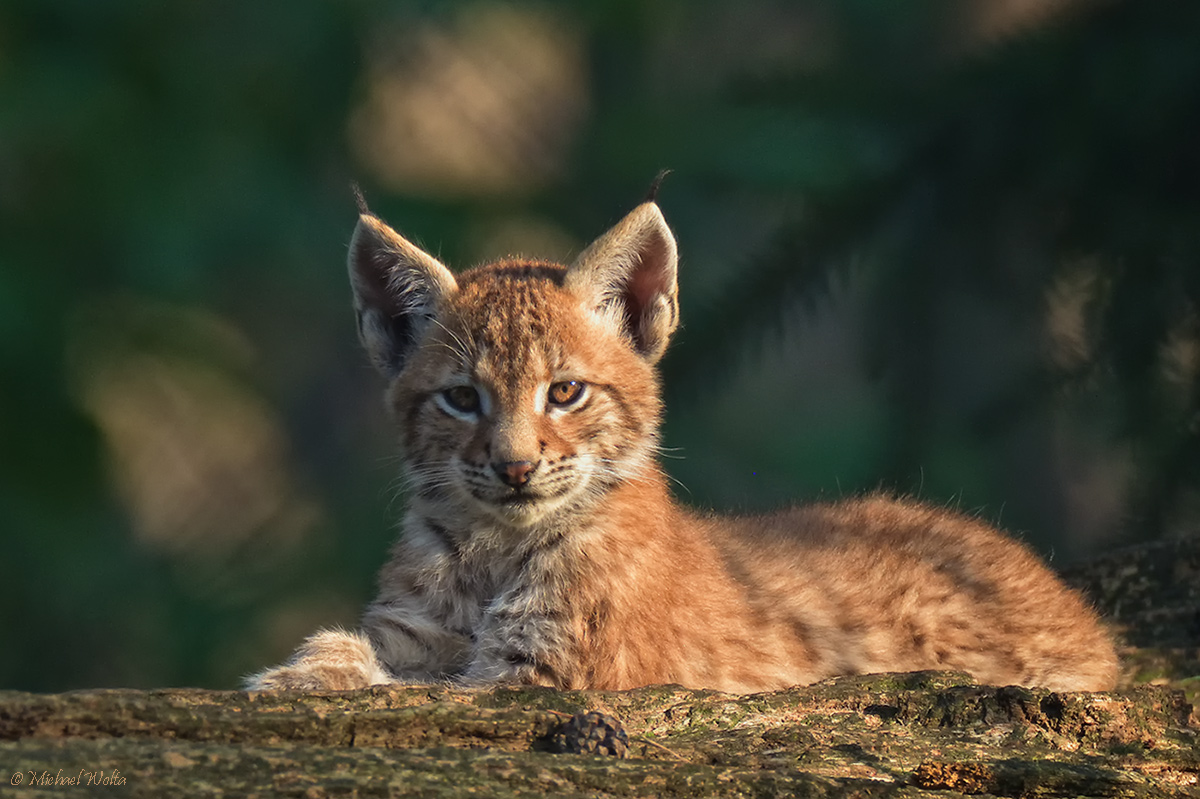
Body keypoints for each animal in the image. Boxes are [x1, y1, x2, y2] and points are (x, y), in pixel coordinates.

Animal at [248, 194, 1118, 691]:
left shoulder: (546, 675)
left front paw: (315, 680)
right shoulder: (422, 631)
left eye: (565, 391)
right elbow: (366, 654)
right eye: (462, 399)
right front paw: (303, 672)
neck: (495, 544)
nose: (516, 466)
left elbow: (427, 691)